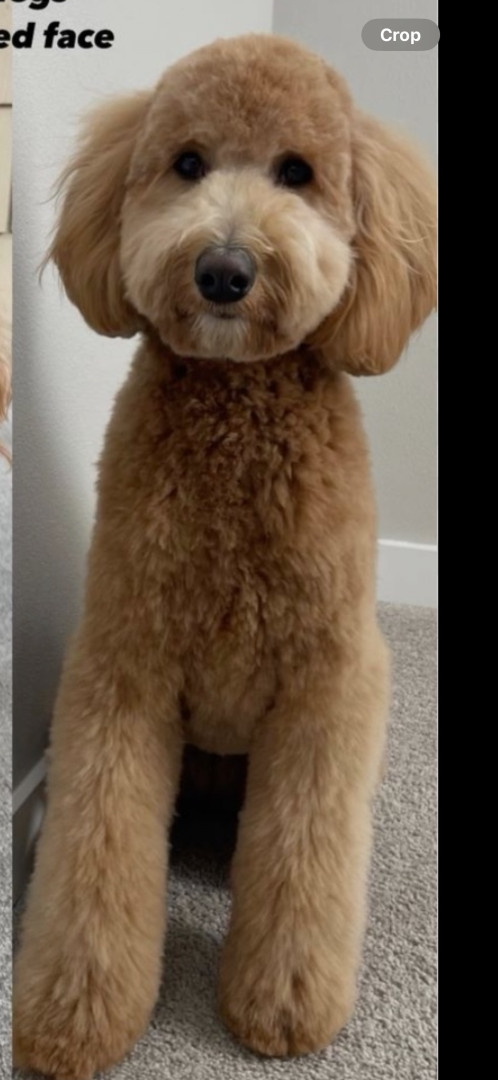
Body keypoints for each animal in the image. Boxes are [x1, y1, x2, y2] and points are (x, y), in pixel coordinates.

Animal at [13, 33, 436, 1079]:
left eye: (298, 173)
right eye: (188, 162)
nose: (224, 270)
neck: (238, 413)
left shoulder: (328, 683)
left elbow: (303, 859)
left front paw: (283, 1004)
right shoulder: (122, 667)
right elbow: (97, 850)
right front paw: (77, 1012)